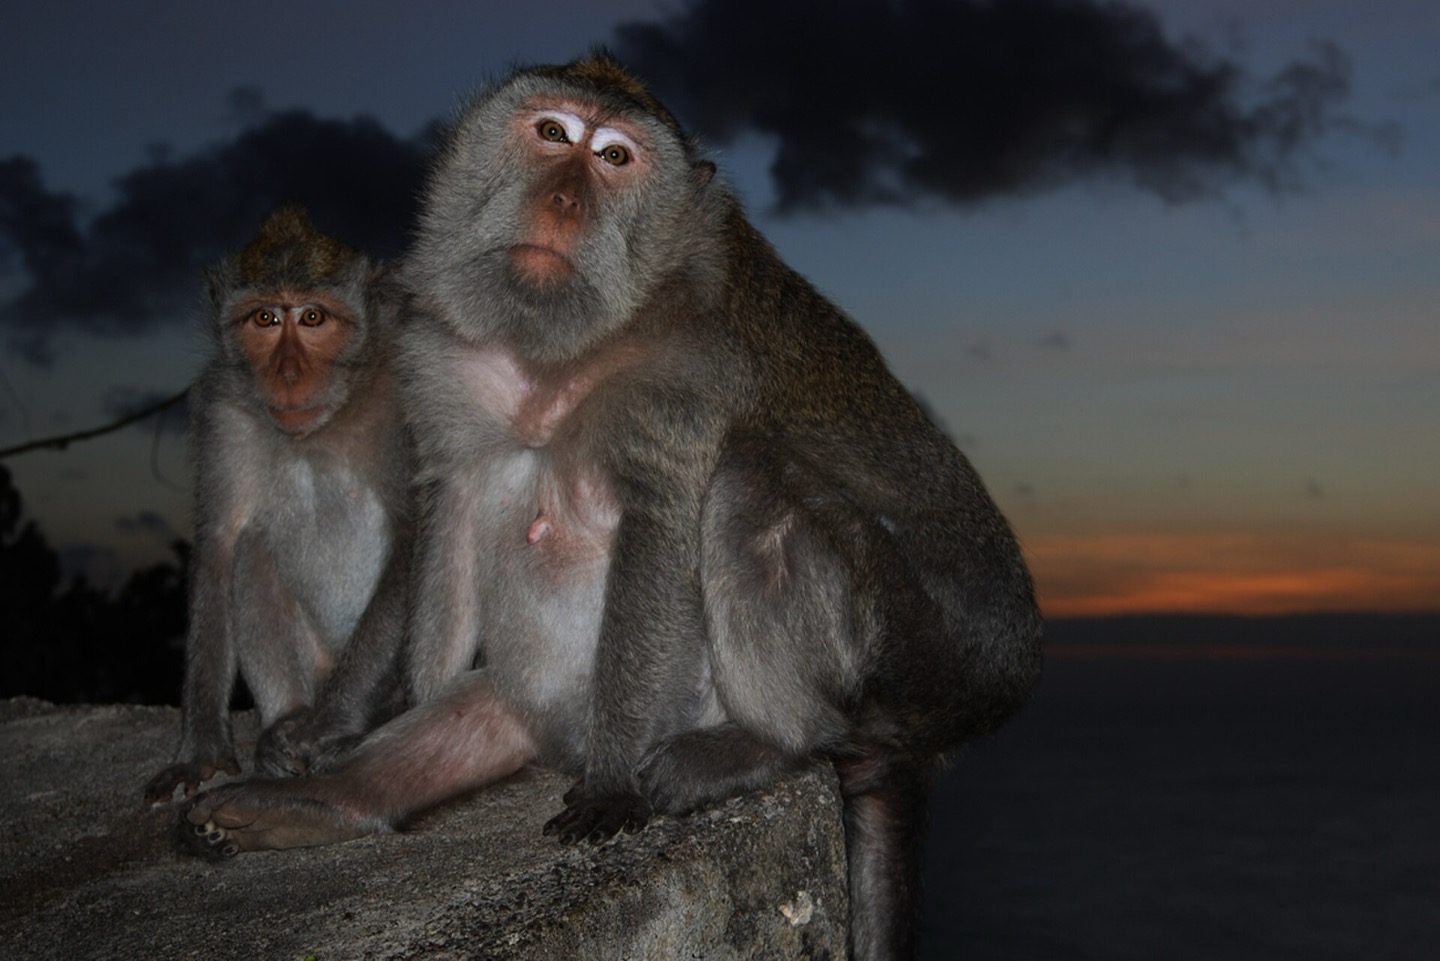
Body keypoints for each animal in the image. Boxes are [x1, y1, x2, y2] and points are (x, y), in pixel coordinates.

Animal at [143, 207, 412, 805]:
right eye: (264, 318)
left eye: (313, 317)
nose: (288, 375)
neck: (325, 424)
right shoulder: (223, 409)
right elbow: (220, 546)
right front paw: (199, 751)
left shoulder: (411, 390)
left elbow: (420, 530)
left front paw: (327, 726)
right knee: (252, 545)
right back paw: (285, 721)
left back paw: (376, 715)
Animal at [179, 58, 1042, 961]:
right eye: (553, 133)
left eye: (615, 157)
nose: (563, 200)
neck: (558, 351)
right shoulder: (438, 355)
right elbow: (451, 502)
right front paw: (375, 712)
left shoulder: (690, 361)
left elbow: (659, 522)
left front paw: (613, 782)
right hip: (522, 705)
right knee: (475, 708)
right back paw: (324, 802)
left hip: (890, 653)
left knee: (749, 477)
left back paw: (769, 739)